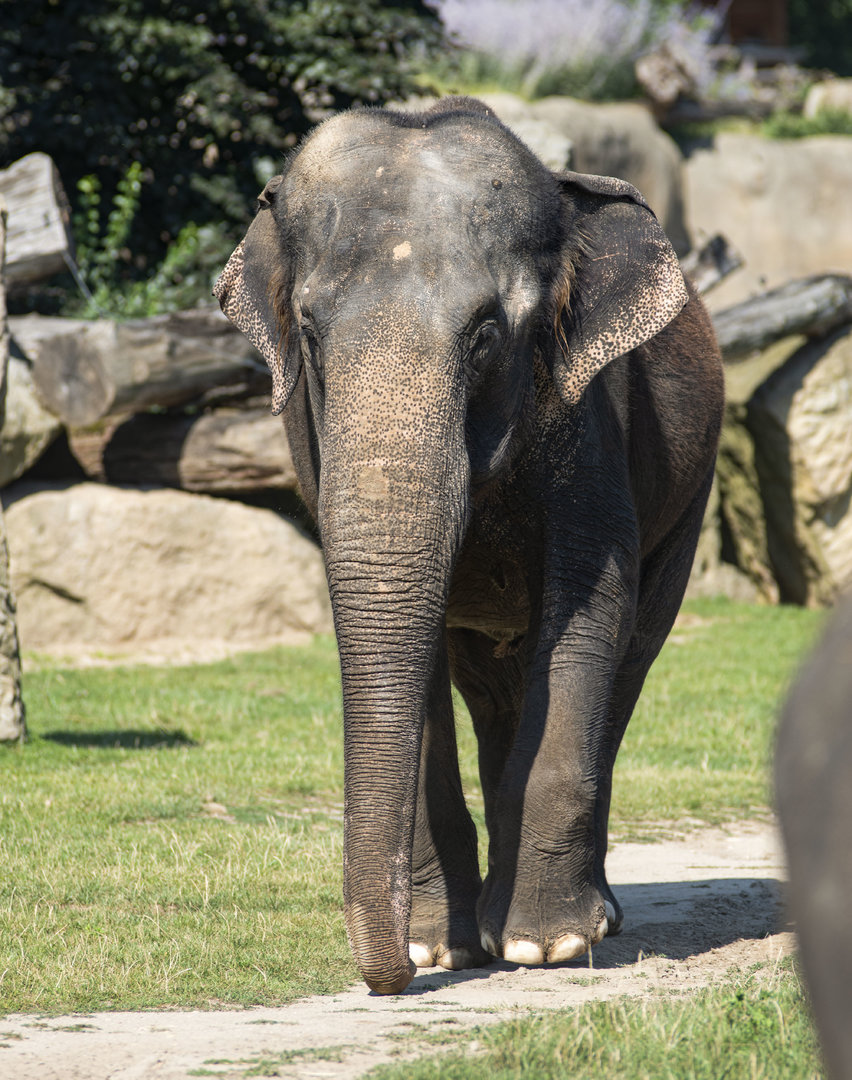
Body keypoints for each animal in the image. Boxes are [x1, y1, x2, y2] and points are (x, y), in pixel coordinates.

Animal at [215, 96, 724, 995]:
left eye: (486, 334)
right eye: (307, 331)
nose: (388, 979)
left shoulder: (592, 415)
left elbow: (590, 604)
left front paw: (543, 946)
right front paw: (438, 949)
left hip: (689, 499)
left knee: (629, 657)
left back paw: (583, 918)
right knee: (490, 689)